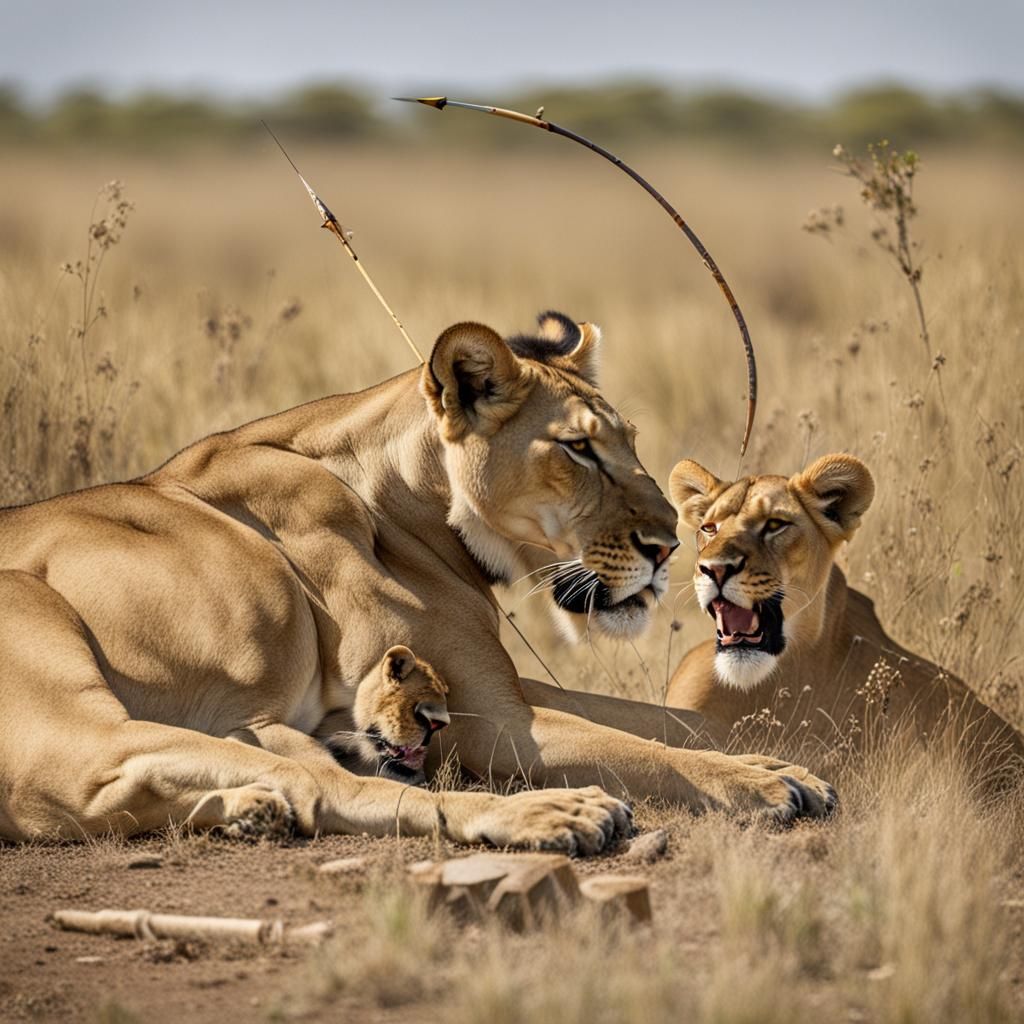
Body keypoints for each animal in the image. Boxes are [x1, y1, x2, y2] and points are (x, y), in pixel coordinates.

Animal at [0, 311, 836, 850]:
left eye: (629, 442)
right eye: (578, 449)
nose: (671, 547)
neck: (406, 500)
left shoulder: (498, 686)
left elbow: (664, 721)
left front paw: (780, 759)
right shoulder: (490, 720)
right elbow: (649, 749)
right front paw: (766, 786)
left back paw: (249, 810)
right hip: (79, 693)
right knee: (330, 788)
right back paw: (559, 814)